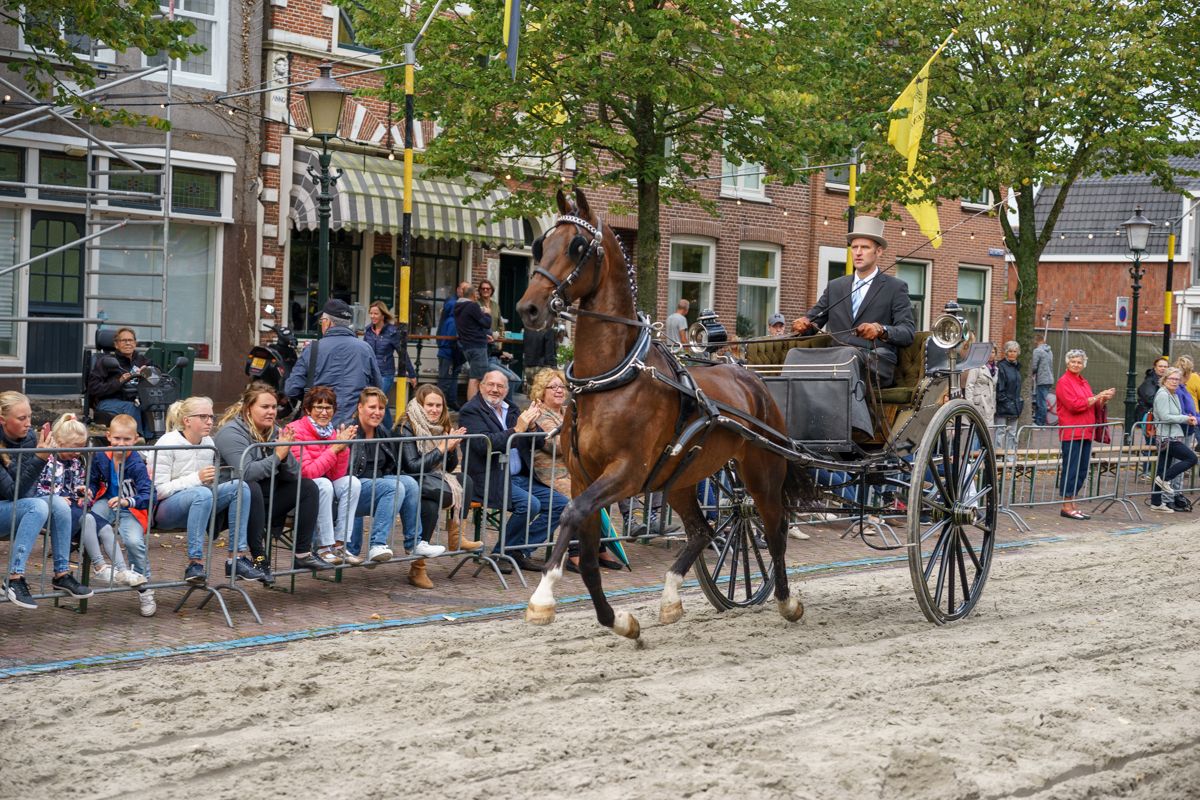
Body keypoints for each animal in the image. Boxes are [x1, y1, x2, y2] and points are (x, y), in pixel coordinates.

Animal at [516, 187, 812, 640]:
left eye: (576, 247)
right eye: (539, 245)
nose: (528, 308)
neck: (608, 379)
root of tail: (751, 377)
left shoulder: (627, 472)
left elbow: (569, 513)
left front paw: (543, 598)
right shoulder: (583, 475)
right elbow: (588, 557)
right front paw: (619, 621)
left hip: (761, 472)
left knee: (773, 529)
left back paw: (786, 601)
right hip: (681, 479)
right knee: (702, 531)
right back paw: (671, 598)